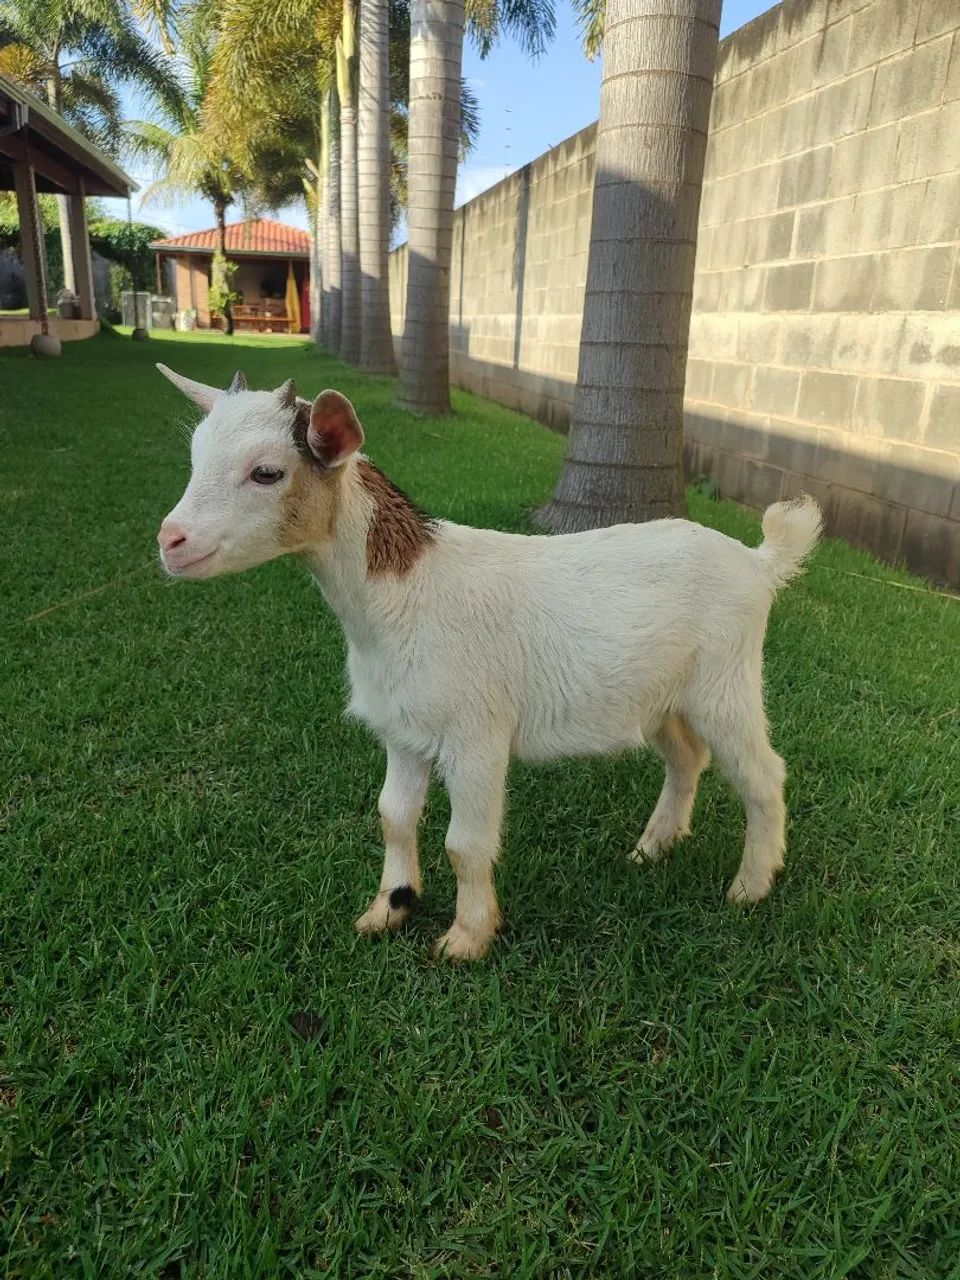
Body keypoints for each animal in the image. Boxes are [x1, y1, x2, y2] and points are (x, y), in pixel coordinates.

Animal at [156, 367, 822, 959]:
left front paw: (467, 939)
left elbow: (466, 843)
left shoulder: (476, 736)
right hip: (663, 694)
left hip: (726, 680)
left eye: (267, 472)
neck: (407, 594)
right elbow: (393, 816)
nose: (170, 541)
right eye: (193, 457)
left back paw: (750, 887)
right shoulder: (402, 731)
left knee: (763, 774)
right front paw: (389, 909)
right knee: (687, 757)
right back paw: (651, 849)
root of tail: (760, 562)